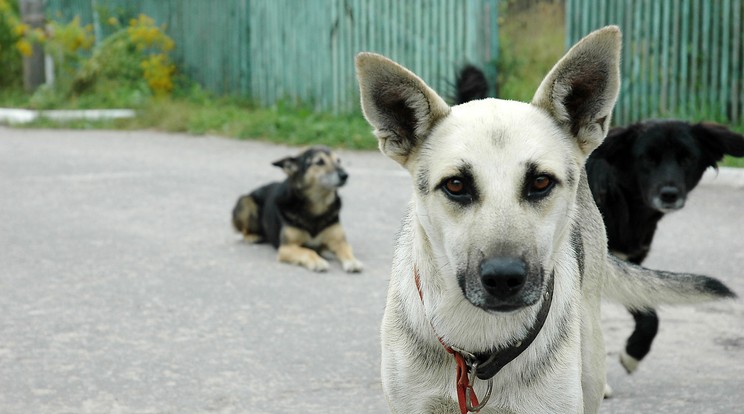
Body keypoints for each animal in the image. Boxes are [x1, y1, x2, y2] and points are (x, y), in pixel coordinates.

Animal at [231, 147, 362, 274]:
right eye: (319, 162)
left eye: (338, 161)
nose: (345, 175)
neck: (317, 207)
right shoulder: (286, 248)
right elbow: (307, 251)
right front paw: (317, 261)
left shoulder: (339, 241)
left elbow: (346, 249)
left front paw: (352, 261)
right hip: (245, 201)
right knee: (244, 229)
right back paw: (252, 236)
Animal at [588, 119, 744, 372]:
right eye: (647, 158)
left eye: (687, 158)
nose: (669, 194)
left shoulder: (626, 268)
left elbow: (649, 315)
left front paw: (634, 353)